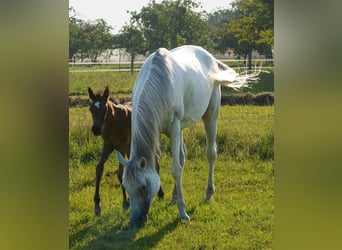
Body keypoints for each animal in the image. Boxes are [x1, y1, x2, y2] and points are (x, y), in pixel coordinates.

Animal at [116, 45, 258, 225]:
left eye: (143, 187)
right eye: (126, 186)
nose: (135, 220)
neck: (159, 83)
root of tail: (211, 58)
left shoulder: (174, 127)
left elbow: (176, 170)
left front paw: (182, 212)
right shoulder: (170, 130)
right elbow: (178, 163)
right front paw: (176, 201)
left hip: (211, 115)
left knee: (211, 154)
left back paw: (208, 193)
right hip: (181, 128)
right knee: (183, 156)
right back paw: (174, 198)